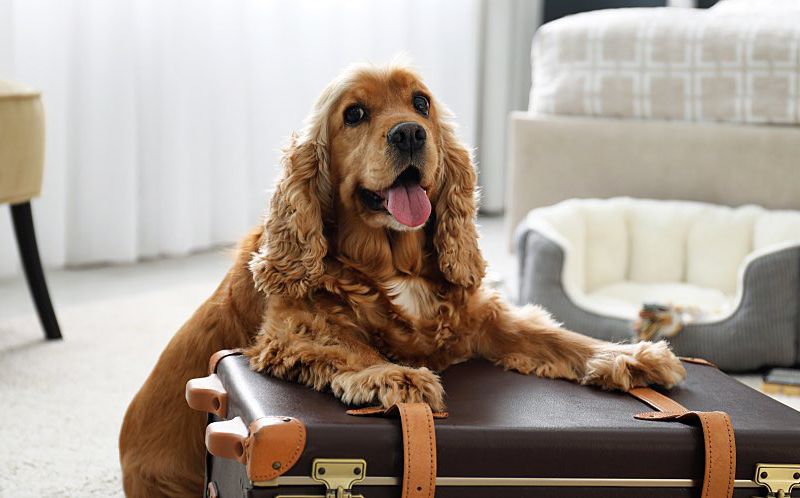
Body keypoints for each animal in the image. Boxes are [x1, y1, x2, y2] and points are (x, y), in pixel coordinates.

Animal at [120, 63, 688, 498]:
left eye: (421, 104)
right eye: (354, 114)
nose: (410, 133)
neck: (394, 263)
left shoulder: (481, 318)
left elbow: (555, 335)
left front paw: (628, 355)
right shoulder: (291, 332)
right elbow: (350, 346)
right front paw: (395, 375)